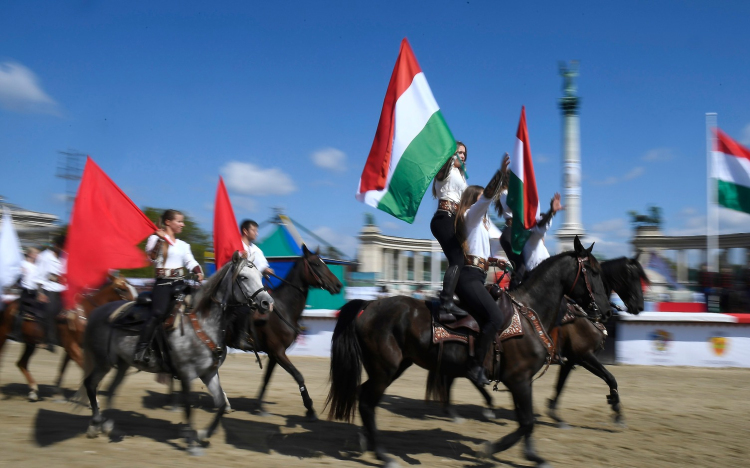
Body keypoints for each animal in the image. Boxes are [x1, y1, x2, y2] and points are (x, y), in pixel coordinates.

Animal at [0, 274, 137, 402]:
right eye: (122, 289)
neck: (85, 313)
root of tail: (9, 305)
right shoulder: (71, 346)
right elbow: (86, 369)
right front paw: (92, 398)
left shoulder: (72, 348)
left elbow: (64, 368)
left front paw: (60, 393)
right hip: (4, 336)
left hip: (30, 343)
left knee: (21, 363)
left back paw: (33, 391)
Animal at [81, 252, 274, 454]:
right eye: (243, 277)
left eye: (260, 276)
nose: (267, 303)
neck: (202, 322)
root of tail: (97, 311)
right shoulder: (186, 373)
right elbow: (188, 406)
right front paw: (192, 443)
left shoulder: (209, 373)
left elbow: (221, 404)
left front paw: (203, 434)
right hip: (103, 362)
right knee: (90, 384)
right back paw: (95, 424)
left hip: (122, 365)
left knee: (110, 390)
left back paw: (109, 426)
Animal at [326, 238, 612, 468]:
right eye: (594, 271)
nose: (608, 310)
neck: (529, 314)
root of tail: (369, 305)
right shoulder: (519, 379)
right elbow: (527, 422)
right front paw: (491, 450)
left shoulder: (522, 381)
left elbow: (526, 420)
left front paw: (533, 456)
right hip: (385, 369)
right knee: (366, 402)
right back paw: (383, 456)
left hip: (394, 367)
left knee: (364, 396)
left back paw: (366, 441)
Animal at [434, 254, 652, 426]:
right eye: (633, 277)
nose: (640, 306)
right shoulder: (584, 356)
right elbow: (610, 377)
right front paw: (616, 409)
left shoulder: (572, 360)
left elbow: (561, 384)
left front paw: (553, 411)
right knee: (458, 375)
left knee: (454, 375)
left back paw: (462, 409)